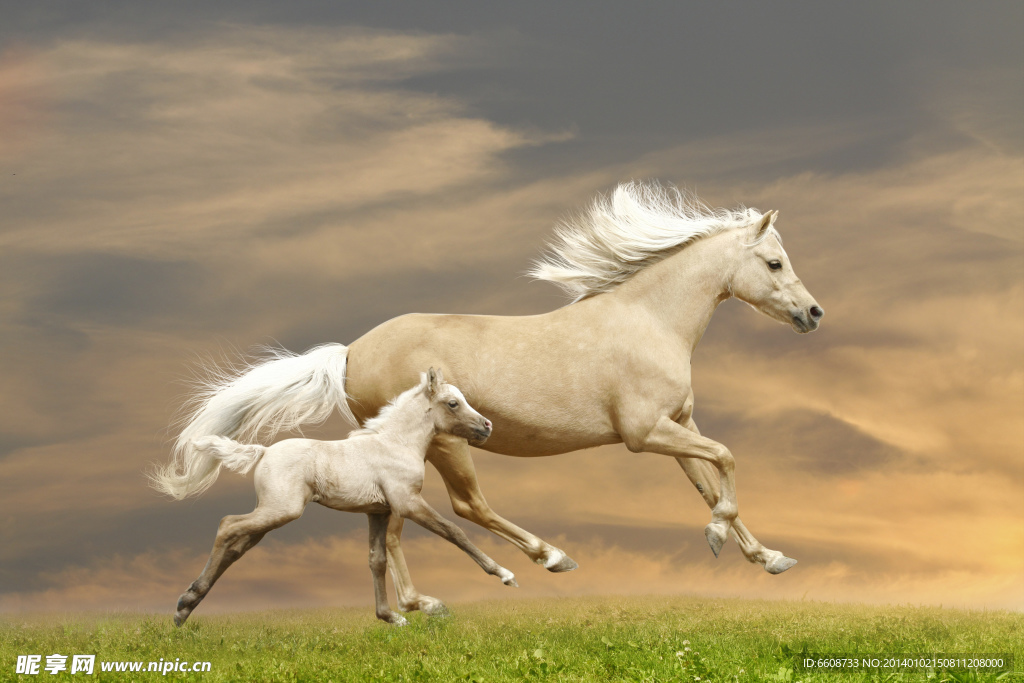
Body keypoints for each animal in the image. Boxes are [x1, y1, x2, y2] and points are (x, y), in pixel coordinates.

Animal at [170, 369, 517, 627]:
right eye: (453, 403)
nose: (487, 426)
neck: (396, 444)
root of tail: (264, 451)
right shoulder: (407, 503)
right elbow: (454, 532)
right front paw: (504, 575)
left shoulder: (378, 511)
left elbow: (376, 560)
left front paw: (390, 617)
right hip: (282, 510)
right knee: (228, 525)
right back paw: (185, 602)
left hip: (270, 515)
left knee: (236, 546)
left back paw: (185, 608)